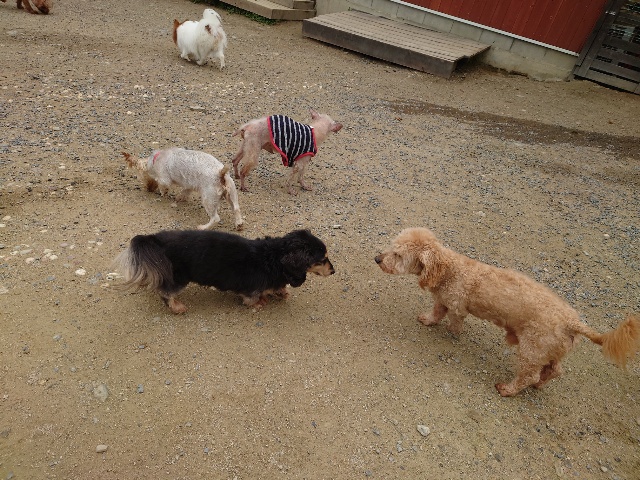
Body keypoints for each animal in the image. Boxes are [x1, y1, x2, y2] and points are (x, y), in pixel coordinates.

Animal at [113, 229, 335, 313]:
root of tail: (156, 239)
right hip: (179, 277)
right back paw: (176, 307)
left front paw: (280, 292)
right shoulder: (251, 288)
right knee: (166, 292)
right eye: (322, 259)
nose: (333, 271)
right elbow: (253, 298)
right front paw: (261, 301)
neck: (274, 257)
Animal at [375, 227, 640, 397]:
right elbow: (436, 312)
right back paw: (541, 385)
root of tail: (572, 322)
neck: (448, 269)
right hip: (550, 349)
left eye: (398, 254)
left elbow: (454, 321)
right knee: (555, 370)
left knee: (529, 375)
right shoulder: (442, 299)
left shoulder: (457, 305)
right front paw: (428, 320)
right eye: (391, 247)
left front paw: (452, 333)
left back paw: (508, 389)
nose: (377, 258)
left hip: (531, 349)